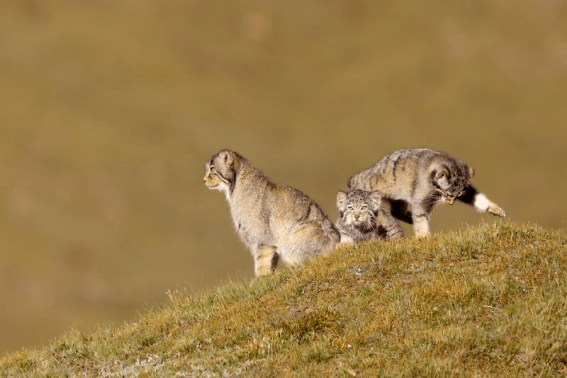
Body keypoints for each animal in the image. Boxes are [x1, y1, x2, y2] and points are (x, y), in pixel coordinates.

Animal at [348, 148, 508, 236]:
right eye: (447, 194)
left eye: (456, 196)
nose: (450, 203)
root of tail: (370, 171)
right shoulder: (421, 197)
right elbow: (420, 216)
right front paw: (423, 236)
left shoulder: (466, 189)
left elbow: (478, 198)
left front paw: (494, 208)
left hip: (399, 198)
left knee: (396, 212)